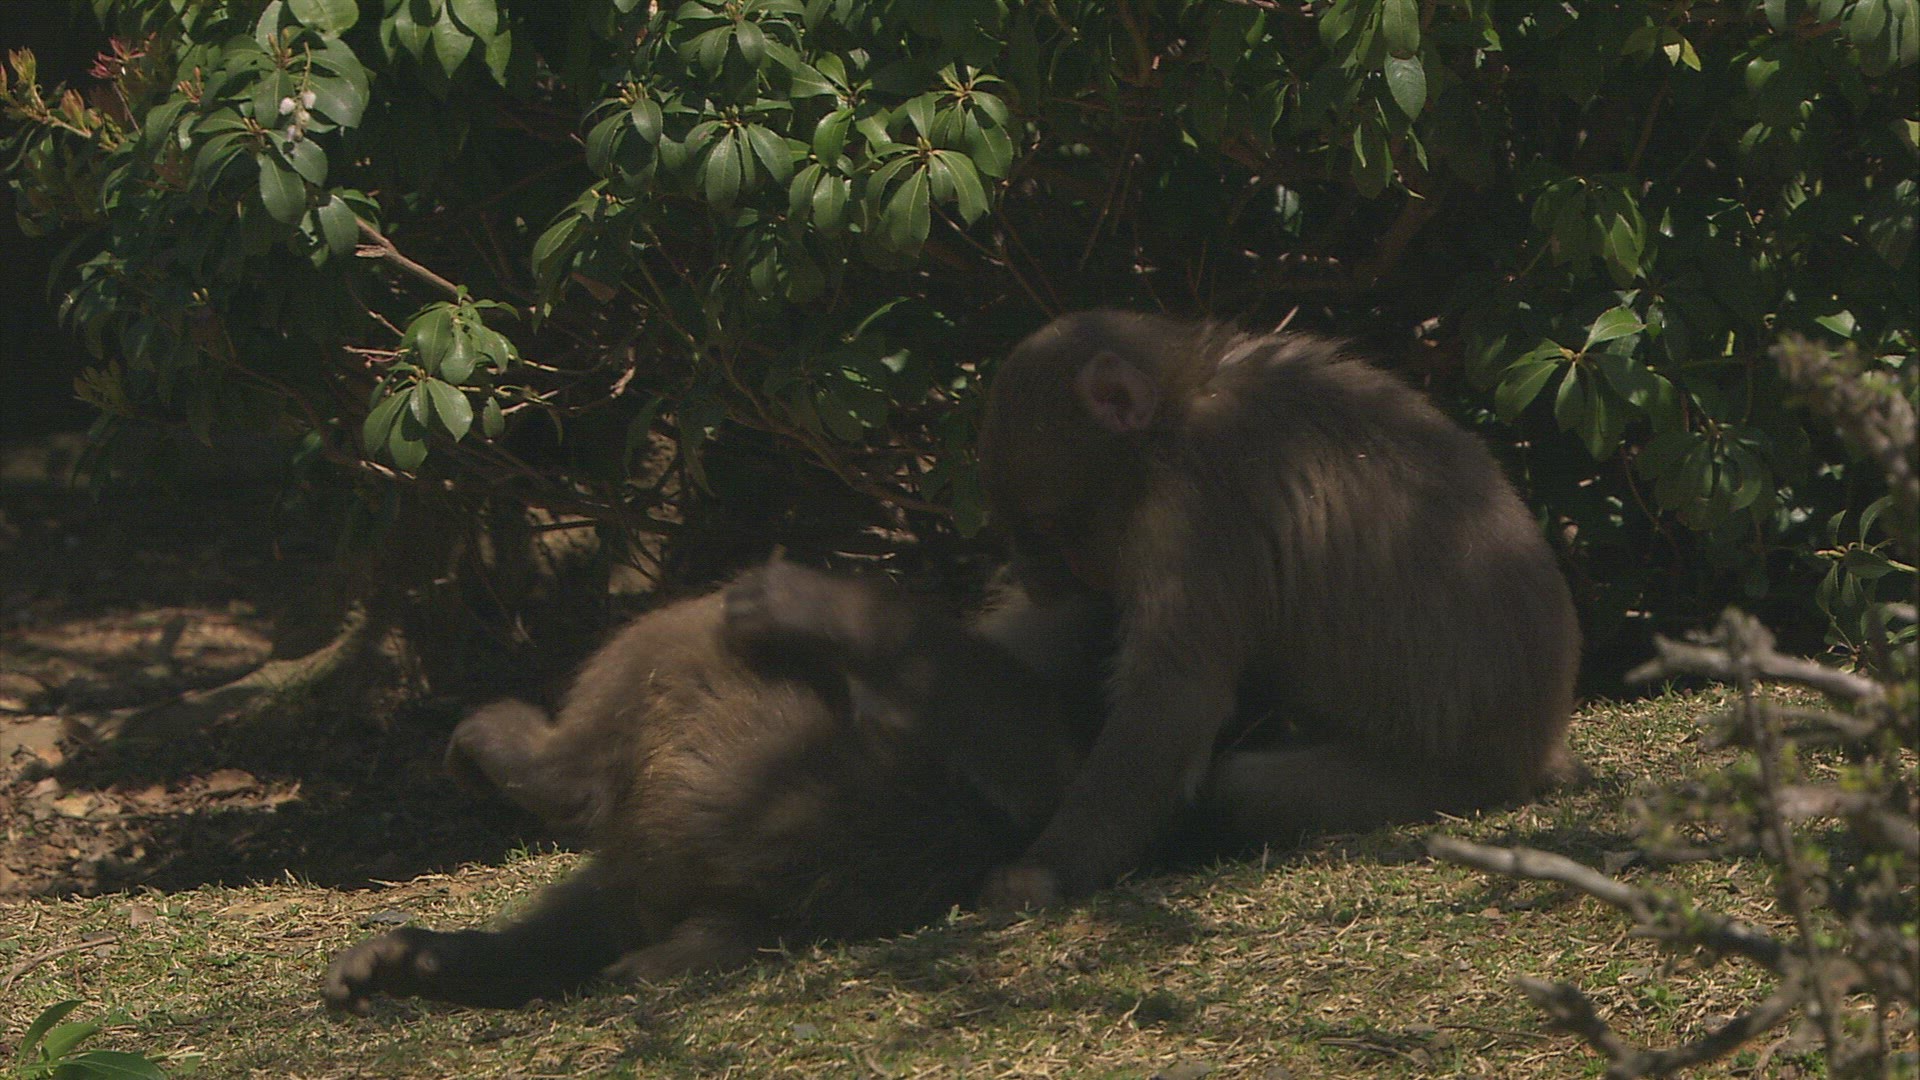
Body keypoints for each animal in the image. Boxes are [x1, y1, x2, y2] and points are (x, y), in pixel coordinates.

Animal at [974, 310, 1582, 910]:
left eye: (1045, 527)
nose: (1028, 576)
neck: (1178, 409)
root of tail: (1539, 746)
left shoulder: (1194, 509)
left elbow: (1173, 700)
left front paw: (1044, 871)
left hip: (1435, 781)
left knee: (1237, 787)